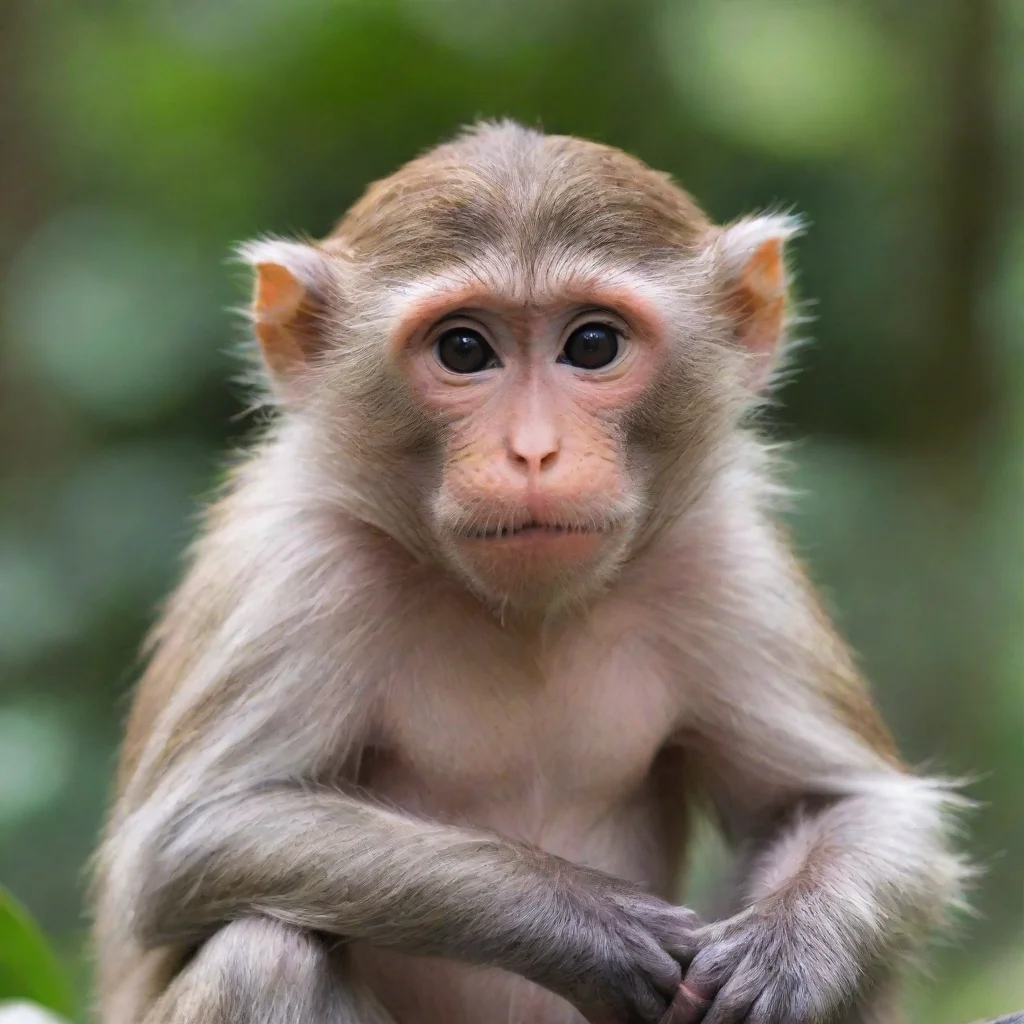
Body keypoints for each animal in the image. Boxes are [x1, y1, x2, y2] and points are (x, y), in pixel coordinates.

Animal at [90, 121, 968, 1024]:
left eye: (593, 344)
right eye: (463, 349)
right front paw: (586, 923)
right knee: (264, 955)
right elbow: (189, 840)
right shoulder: (299, 569)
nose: (534, 451)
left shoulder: (725, 557)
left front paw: (786, 955)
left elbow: (845, 803)